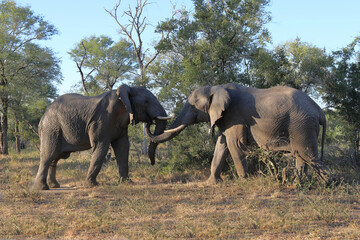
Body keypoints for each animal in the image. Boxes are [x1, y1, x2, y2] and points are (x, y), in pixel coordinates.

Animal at [31, 83, 171, 190]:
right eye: (146, 102)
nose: (152, 163)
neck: (126, 90)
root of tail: (43, 116)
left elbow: (123, 147)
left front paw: (126, 182)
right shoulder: (101, 120)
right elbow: (101, 147)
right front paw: (91, 186)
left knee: (56, 157)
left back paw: (55, 186)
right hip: (51, 128)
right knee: (48, 155)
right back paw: (42, 188)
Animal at [147, 83, 332, 185]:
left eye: (193, 106)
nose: (150, 121)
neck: (216, 87)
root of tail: (319, 111)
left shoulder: (234, 116)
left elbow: (234, 144)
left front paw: (243, 181)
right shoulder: (226, 117)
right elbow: (221, 145)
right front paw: (212, 182)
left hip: (301, 125)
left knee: (308, 155)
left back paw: (330, 183)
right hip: (302, 125)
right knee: (302, 156)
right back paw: (297, 183)